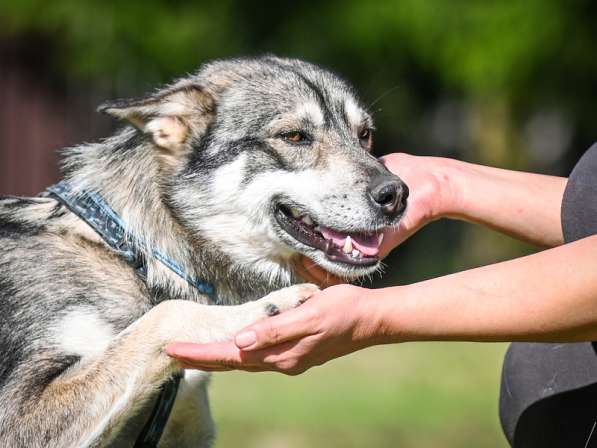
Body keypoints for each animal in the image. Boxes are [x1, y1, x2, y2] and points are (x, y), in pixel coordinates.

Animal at [0, 57, 406, 448]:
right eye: (294, 136)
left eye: (365, 135)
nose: (397, 195)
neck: (136, 258)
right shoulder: (19, 414)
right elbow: (170, 312)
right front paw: (267, 306)